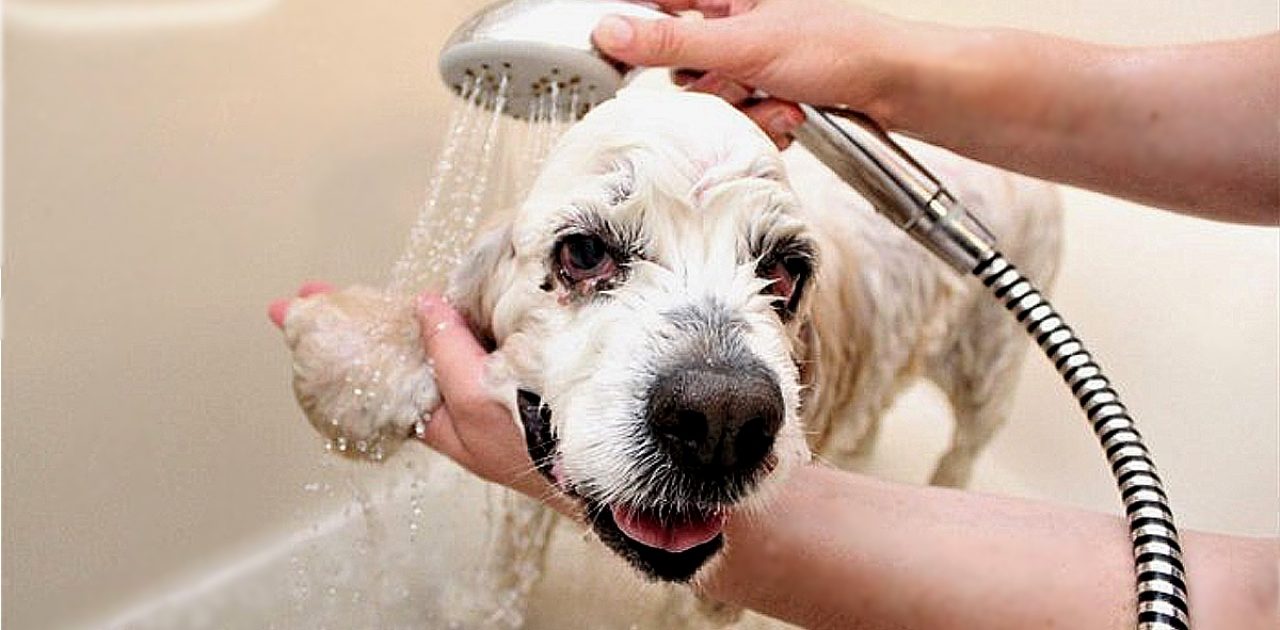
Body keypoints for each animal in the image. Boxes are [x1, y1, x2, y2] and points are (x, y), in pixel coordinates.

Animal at [277, 87, 1059, 604]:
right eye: (584, 251)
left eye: (785, 269)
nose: (722, 421)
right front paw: (354, 359)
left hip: (991, 365)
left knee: (963, 451)